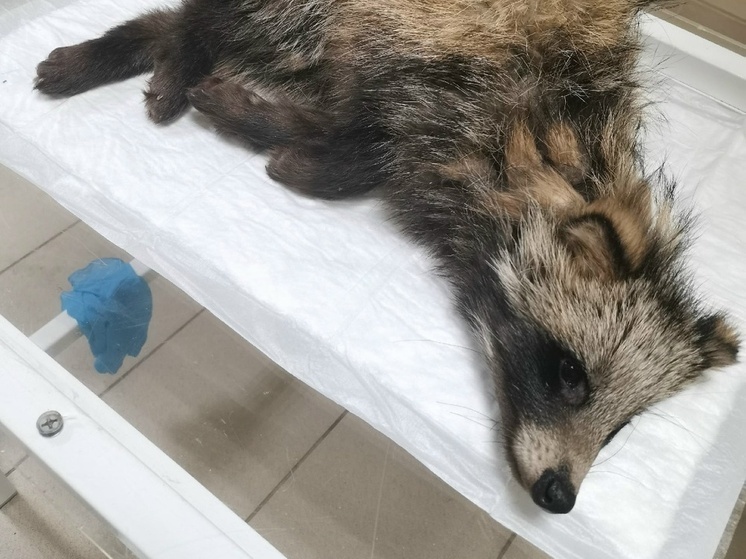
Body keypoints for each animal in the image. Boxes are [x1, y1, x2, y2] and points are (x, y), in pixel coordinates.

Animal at [35, 0, 739, 514]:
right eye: (570, 373)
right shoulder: (423, 50)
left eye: (620, 429)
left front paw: (282, 130)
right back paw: (167, 57)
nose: (560, 496)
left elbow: (361, 141)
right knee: (213, 21)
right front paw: (268, 127)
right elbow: (362, 144)